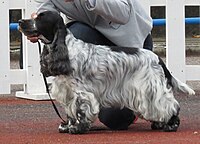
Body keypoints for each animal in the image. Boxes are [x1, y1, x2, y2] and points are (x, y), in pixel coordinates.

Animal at [18, 11, 194, 134]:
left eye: (40, 18)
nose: (20, 22)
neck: (67, 50)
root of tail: (158, 58)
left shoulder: (81, 93)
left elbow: (80, 111)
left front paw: (78, 128)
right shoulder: (68, 92)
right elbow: (70, 112)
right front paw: (67, 126)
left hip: (152, 89)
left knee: (171, 106)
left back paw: (170, 125)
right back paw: (159, 123)